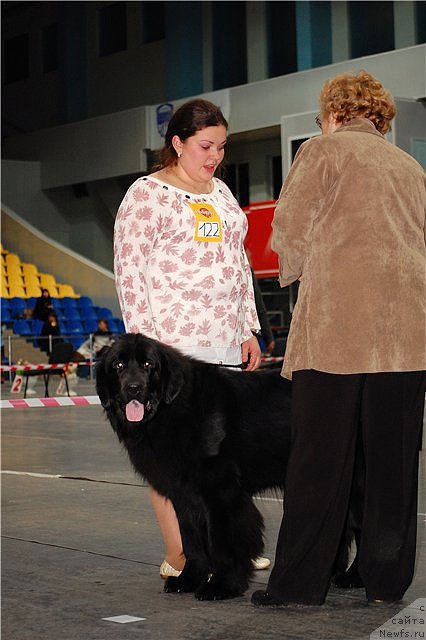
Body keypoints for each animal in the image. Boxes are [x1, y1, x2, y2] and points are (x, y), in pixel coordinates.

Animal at [95, 336, 362, 600]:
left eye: (149, 365)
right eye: (118, 366)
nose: (133, 388)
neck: (174, 409)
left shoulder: (220, 493)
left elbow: (223, 541)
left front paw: (222, 585)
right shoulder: (184, 495)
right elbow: (191, 540)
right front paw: (188, 579)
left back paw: (353, 577)